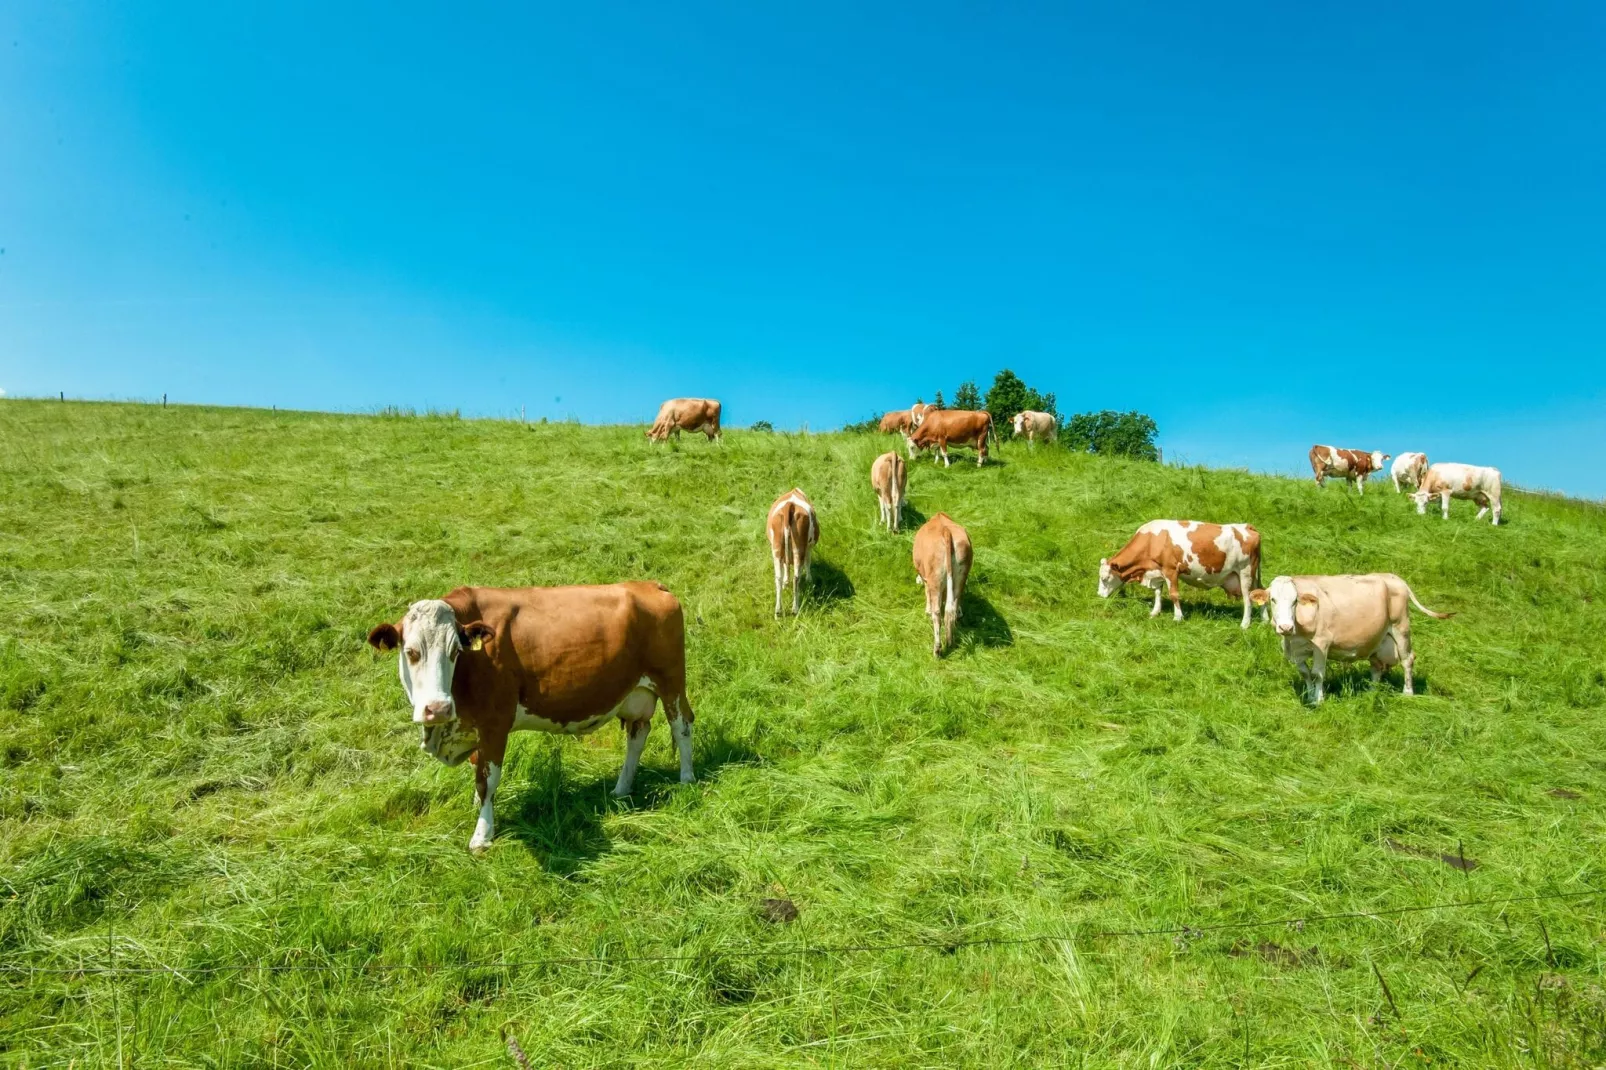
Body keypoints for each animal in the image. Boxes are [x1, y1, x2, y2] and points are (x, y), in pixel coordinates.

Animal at [369, 584, 697, 848]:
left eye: (454, 652)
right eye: (411, 652)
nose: (438, 708)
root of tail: (649, 585)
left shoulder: (495, 723)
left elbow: (487, 779)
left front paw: (482, 835)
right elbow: (477, 769)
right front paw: (477, 807)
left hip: (671, 681)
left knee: (681, 726)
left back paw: (686, 779)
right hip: (635, 695)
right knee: (637, 734)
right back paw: (621, 788)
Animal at [764, 485, 815, 613]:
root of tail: (790, 505)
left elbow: (786, 566)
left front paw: (786, 583)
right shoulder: (809, 547)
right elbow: (808, 562)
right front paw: (809, 580)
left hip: (777, 549)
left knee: (778, 577)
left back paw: (778, 610)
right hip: (799, 548)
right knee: (796, 577)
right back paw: (795, 608)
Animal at [912, 514, 970, 655]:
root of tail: (946, 531)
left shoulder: (927, 579)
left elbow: (927, 592)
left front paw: (927, 610)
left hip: (935, 579)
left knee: (937, 613)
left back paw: (937, 650)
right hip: (961, 577)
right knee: (952, 608)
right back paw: (950, 642)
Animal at [1098, 517, 1259, 626]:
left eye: (1105, 578)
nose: (1099, 595)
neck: (1152, 540)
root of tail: (1247, 526)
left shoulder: (1170, 570)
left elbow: (1174, 594)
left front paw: (1177, 617)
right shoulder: (1158, 570)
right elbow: (1157, 592)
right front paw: (1155, 612)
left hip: (1245, 573)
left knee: (1248, 598)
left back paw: (1245, 624)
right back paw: (1263, 621)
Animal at [1246, 571, 1464, 703]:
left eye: (1295, 601)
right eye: (1273, 599)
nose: (1285, 626)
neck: (1296, 632)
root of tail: (1394, 577)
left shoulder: (1322, 643)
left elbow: (1317, 673)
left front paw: (1318, 699)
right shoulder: (1296, 649)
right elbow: (1305, 673)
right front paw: (1308, 696)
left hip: (1401, 628)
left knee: (1407, 660)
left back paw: (1408, 693)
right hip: (1378, 638)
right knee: (1377, 666)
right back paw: (1372, 692)